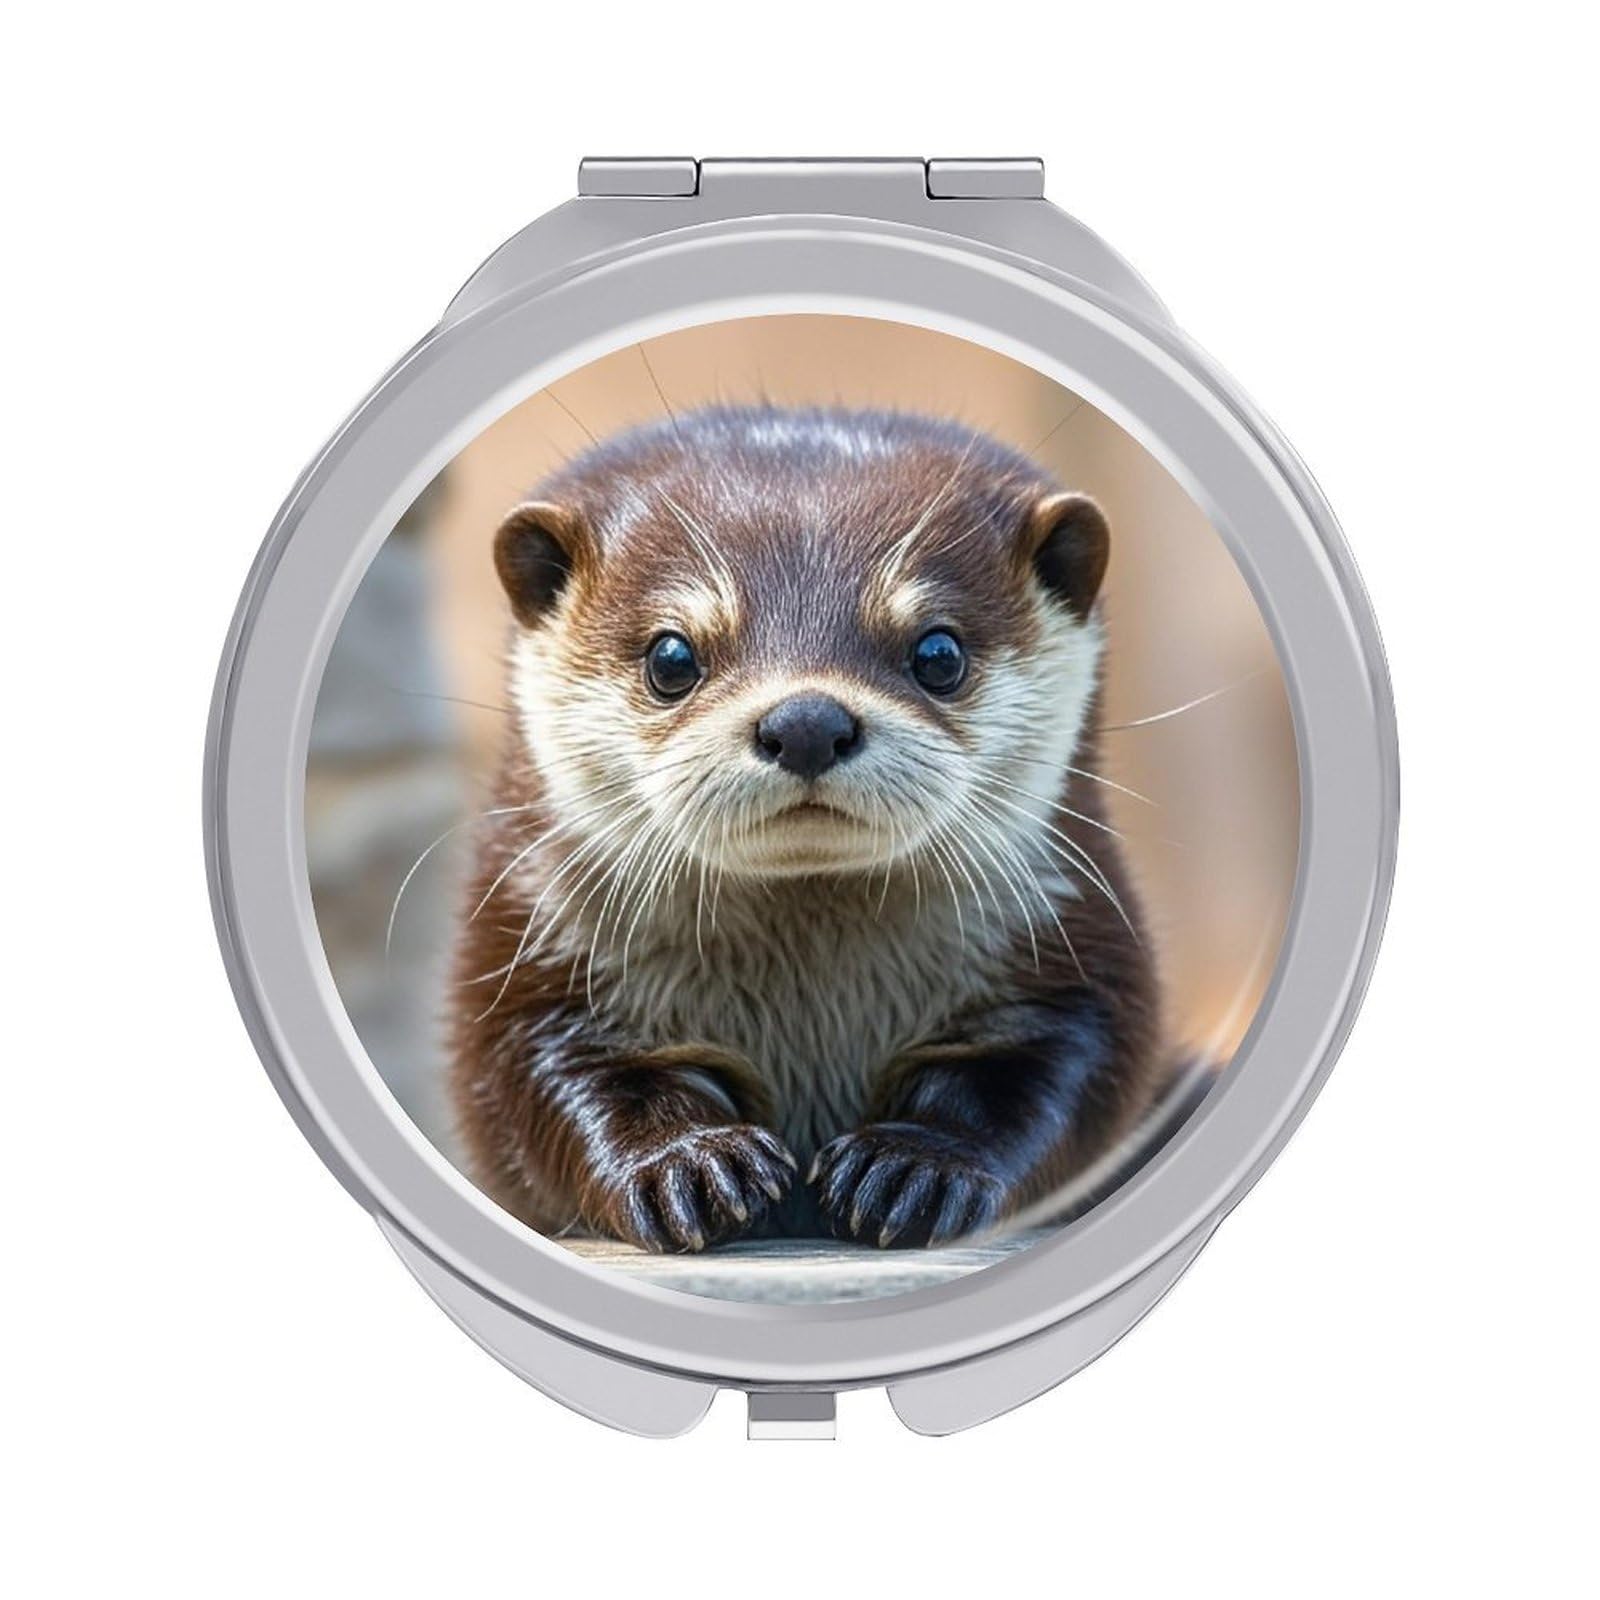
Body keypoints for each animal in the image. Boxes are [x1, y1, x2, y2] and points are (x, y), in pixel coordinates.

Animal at [449, 405, 1164, 1252]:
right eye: (671, 656)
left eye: (938, 651)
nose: (807, 722)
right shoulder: (534, 958)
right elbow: (545, 1077)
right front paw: (687, 1162)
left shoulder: (1072, 952)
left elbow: (1049, 1073)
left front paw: (917, 1167)